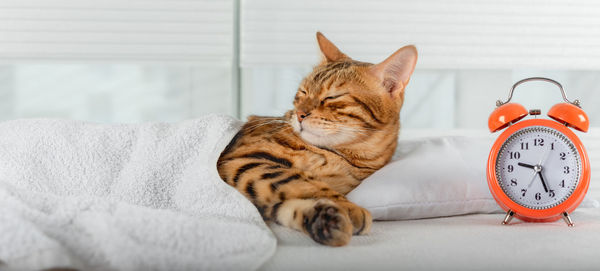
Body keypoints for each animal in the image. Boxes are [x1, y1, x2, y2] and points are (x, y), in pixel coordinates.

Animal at [216, 32, 418, 246]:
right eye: (303, 92)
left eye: (332, 97)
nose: (299, 114)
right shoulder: (241, 158)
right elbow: (297, 179)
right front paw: (348, 208)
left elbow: (285, 206)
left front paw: (325, 220)